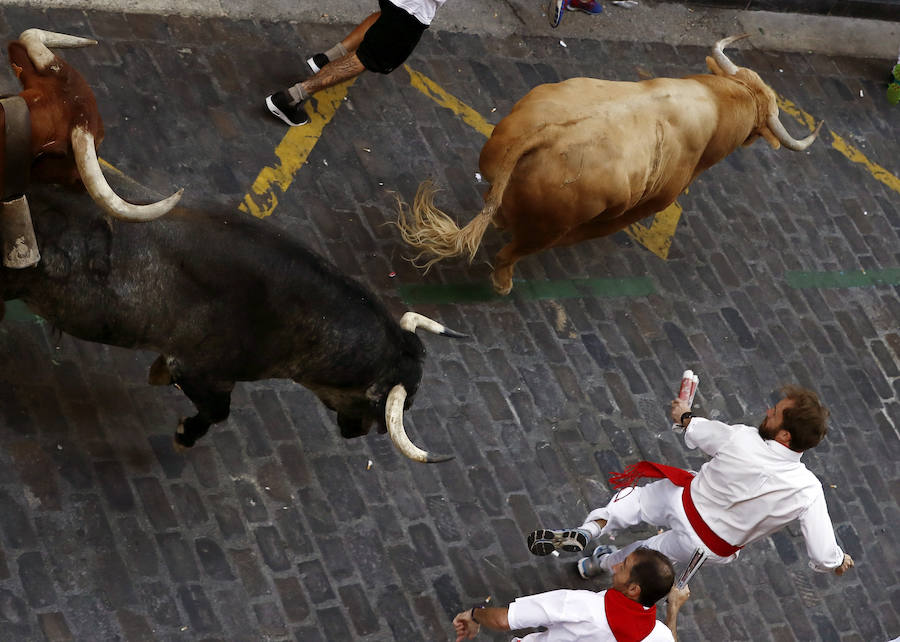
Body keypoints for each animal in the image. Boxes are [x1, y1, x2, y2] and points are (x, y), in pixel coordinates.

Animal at [0, 184, 464, 460]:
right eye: (378, 403)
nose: (361, 433)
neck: (300, 315)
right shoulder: (203, 371)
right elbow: (218, 412)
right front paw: (184, 434)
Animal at [398, 36, 820, 294]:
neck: (717, 105)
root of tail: (551, 134)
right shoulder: (643, 207)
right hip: (547, 229)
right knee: (511, 254)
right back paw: (503, 282)